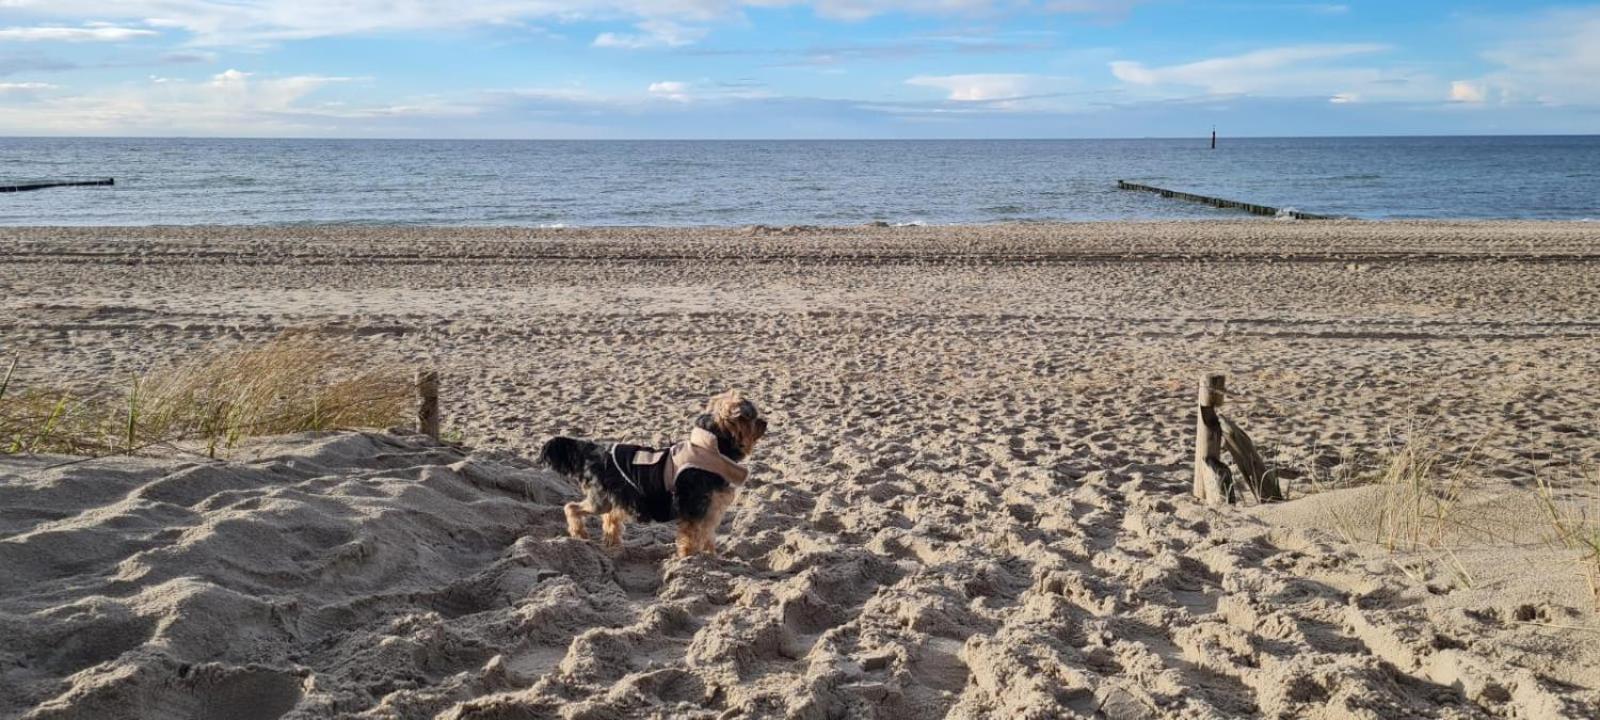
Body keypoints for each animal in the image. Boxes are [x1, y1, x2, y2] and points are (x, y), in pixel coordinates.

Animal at [540, 393, 771, 556]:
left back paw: (612, 542)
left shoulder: (711, 507)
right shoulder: (694, 506)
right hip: (602, 497)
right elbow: (690, 536)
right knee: (572, 507)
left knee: (611, 516)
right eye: (752, 418)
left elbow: (707, 534)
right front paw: (689, 559)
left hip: (618, 497)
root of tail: (596, 451)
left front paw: (711, 557)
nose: (766, 422)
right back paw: (580, 533)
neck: (712, 447)